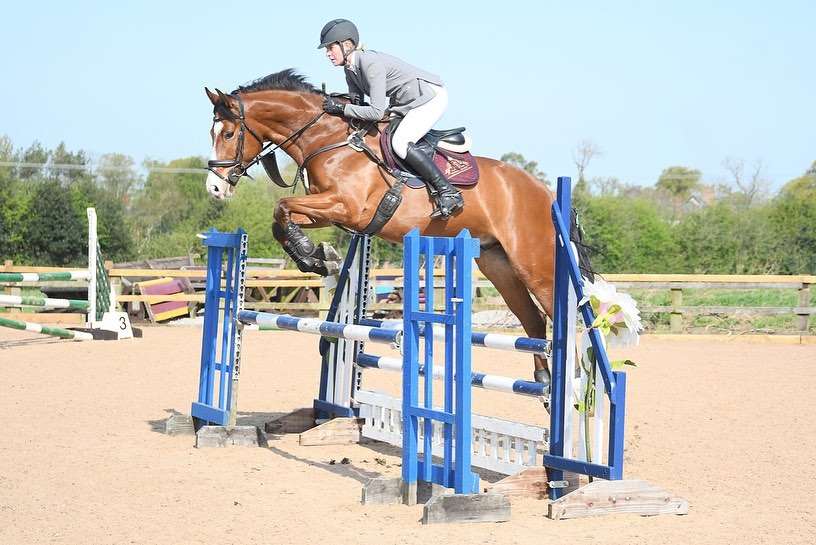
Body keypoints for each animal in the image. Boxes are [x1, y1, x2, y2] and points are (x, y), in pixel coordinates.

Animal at [203, 68, 588, 382]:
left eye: (229, 133)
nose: (215, 188)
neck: (328, 139)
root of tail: (546, 193)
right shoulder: (326, 210)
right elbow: (281, 218)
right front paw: (315, 257)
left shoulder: (347, 207)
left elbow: (281, 206)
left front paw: (312, 254)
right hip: (498, 264)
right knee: (533, 319)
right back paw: (543, 381)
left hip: (534, 263)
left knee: (563, 316)